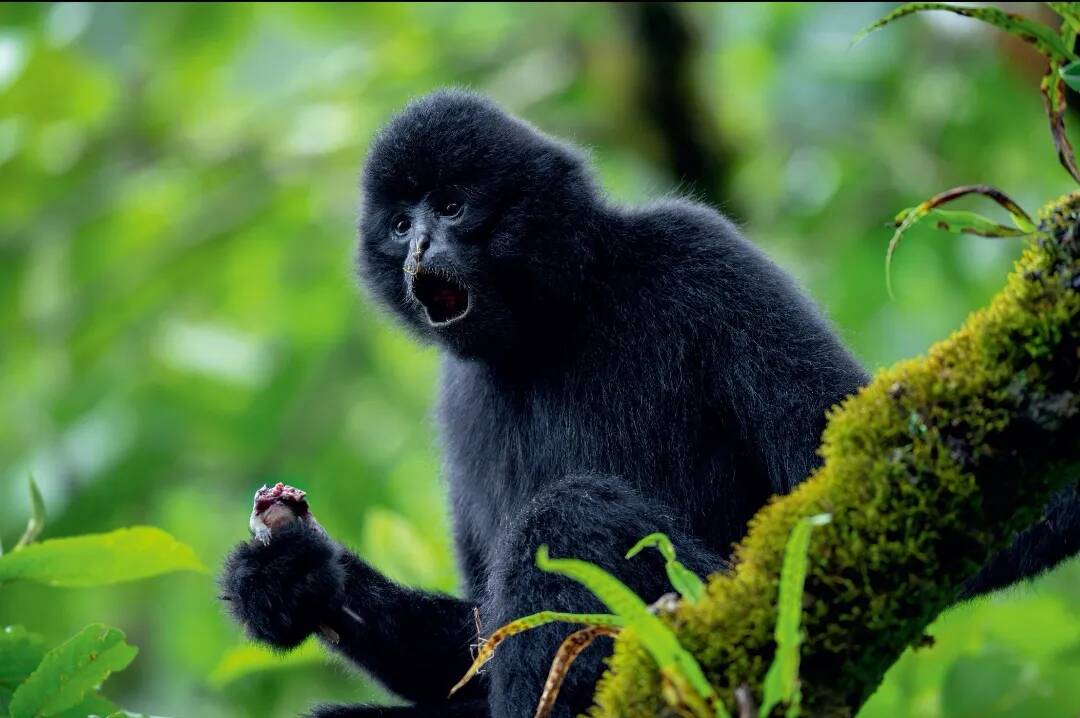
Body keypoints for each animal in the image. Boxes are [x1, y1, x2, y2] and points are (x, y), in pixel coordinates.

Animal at [220, 89, 1080, 718]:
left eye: (453, 207)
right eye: (401, 225)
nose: (420, 251)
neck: (556, 324)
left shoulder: (700, 253)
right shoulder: (459, 399)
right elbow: (473, 648)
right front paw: (294, 577)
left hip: (719, 602)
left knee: (569, 516)